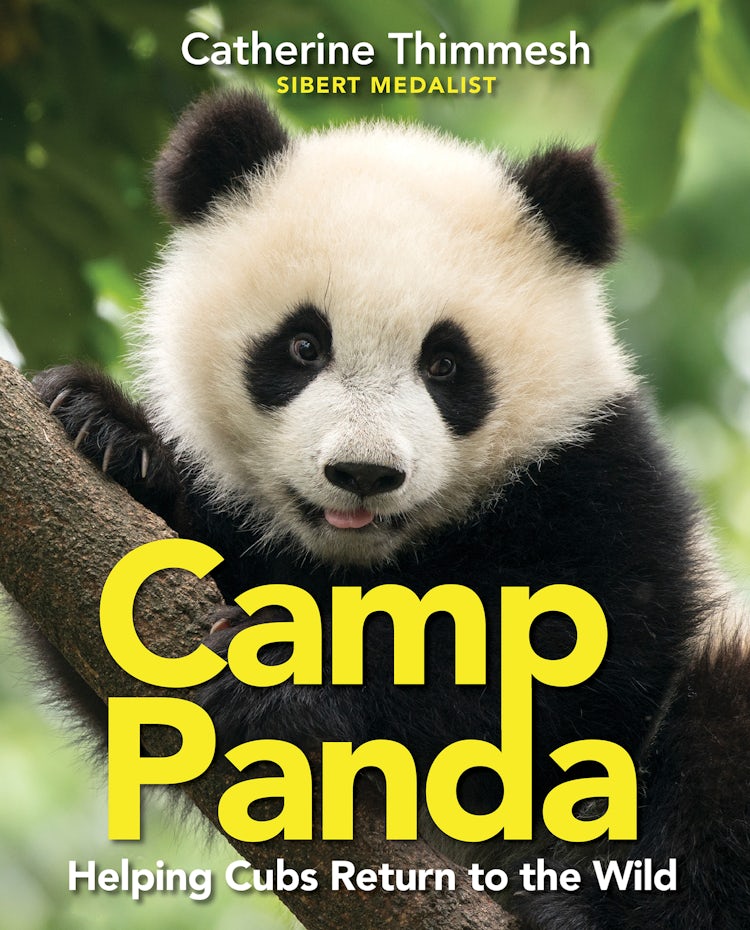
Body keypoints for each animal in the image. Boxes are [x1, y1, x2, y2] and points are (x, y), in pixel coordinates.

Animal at [33, 90, 750, 929]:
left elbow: (566, 658)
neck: (367, 558)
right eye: (303, 345)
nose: (364, 473)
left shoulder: (598, 480)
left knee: (713, 754)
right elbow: (114, 653)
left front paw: (283, 677)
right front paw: (107, 431)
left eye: (445, 364)